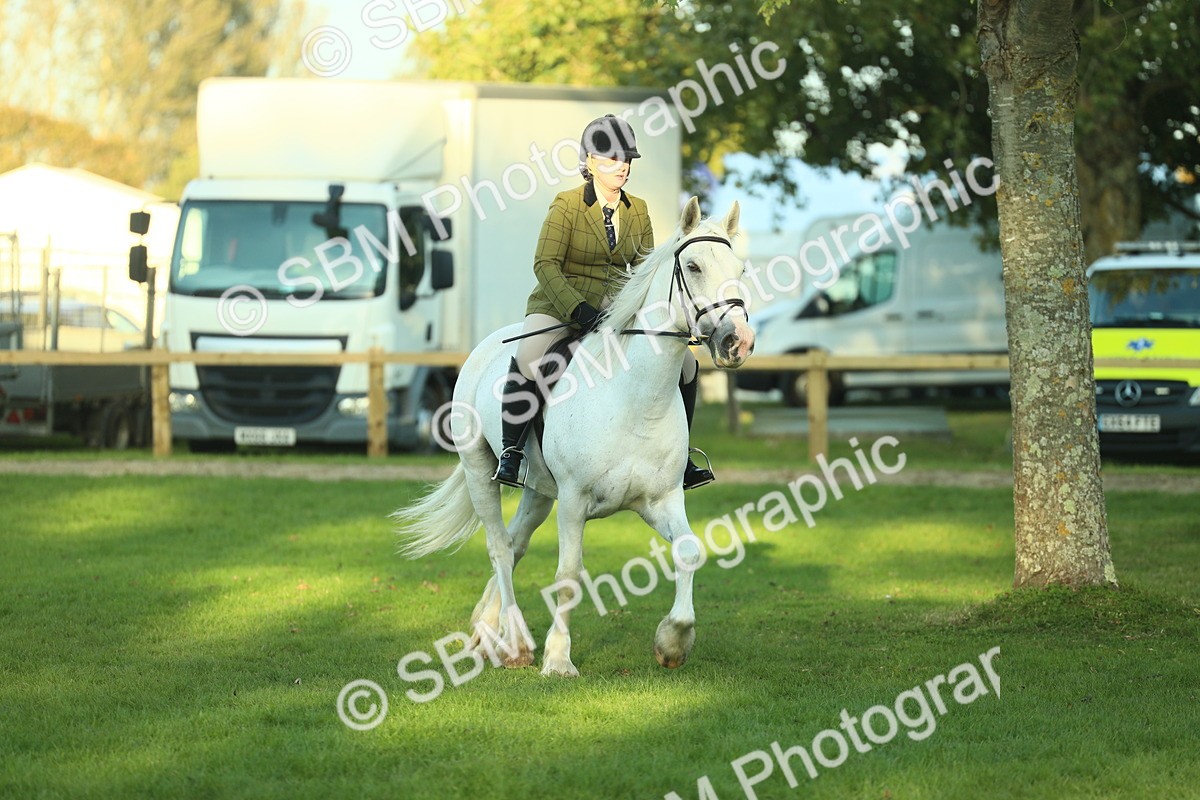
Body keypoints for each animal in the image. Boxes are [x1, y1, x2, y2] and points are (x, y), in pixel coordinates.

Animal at [393, 197, 755, 677]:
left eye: (741, 268)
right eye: (693, 267)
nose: (738, 342)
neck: (635, 399)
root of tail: (485, 346)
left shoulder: (661, 500)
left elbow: (689, 551)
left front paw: (673, 643)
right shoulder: (574, 501)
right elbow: (568, 577)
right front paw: (559, 659)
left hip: (537, 490)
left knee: (515, 542)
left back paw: (489, 629)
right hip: (479, 470)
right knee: (500, 547)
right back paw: (516, 644)